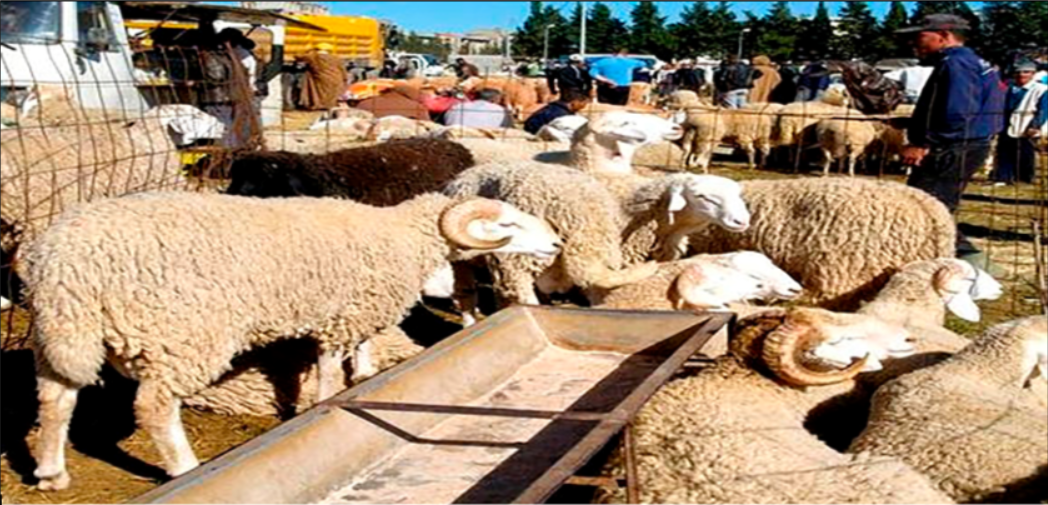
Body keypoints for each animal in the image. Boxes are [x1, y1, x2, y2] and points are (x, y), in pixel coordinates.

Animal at [23, 192, 562, 491]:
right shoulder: (341, 313)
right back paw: (185, 467)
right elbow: (327, 368)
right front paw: (325, 404)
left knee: (56, 399)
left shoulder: (352, 310)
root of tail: (65, 262)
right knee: (154, 408)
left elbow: (358, 351)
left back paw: (51, 472)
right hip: (181, 335)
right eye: (507, 224)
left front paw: (366, 373)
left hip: (60, 335)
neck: (400, 236)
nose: (556, 243)